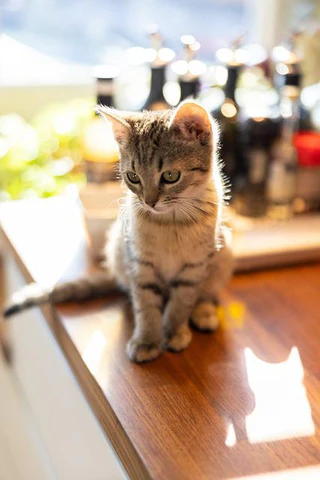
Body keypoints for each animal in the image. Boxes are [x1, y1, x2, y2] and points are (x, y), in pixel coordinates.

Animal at [2, 102, 232, 364]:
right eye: (133, 177)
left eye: (170, 176)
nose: (149, 202)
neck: (171, 223)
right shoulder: (140, 263)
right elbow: (146, 306)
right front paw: (147, 339)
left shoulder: (194, 266)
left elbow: (181, 302)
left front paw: (174, 331)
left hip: (224, 252)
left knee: (207, 293)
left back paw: (204, 312)